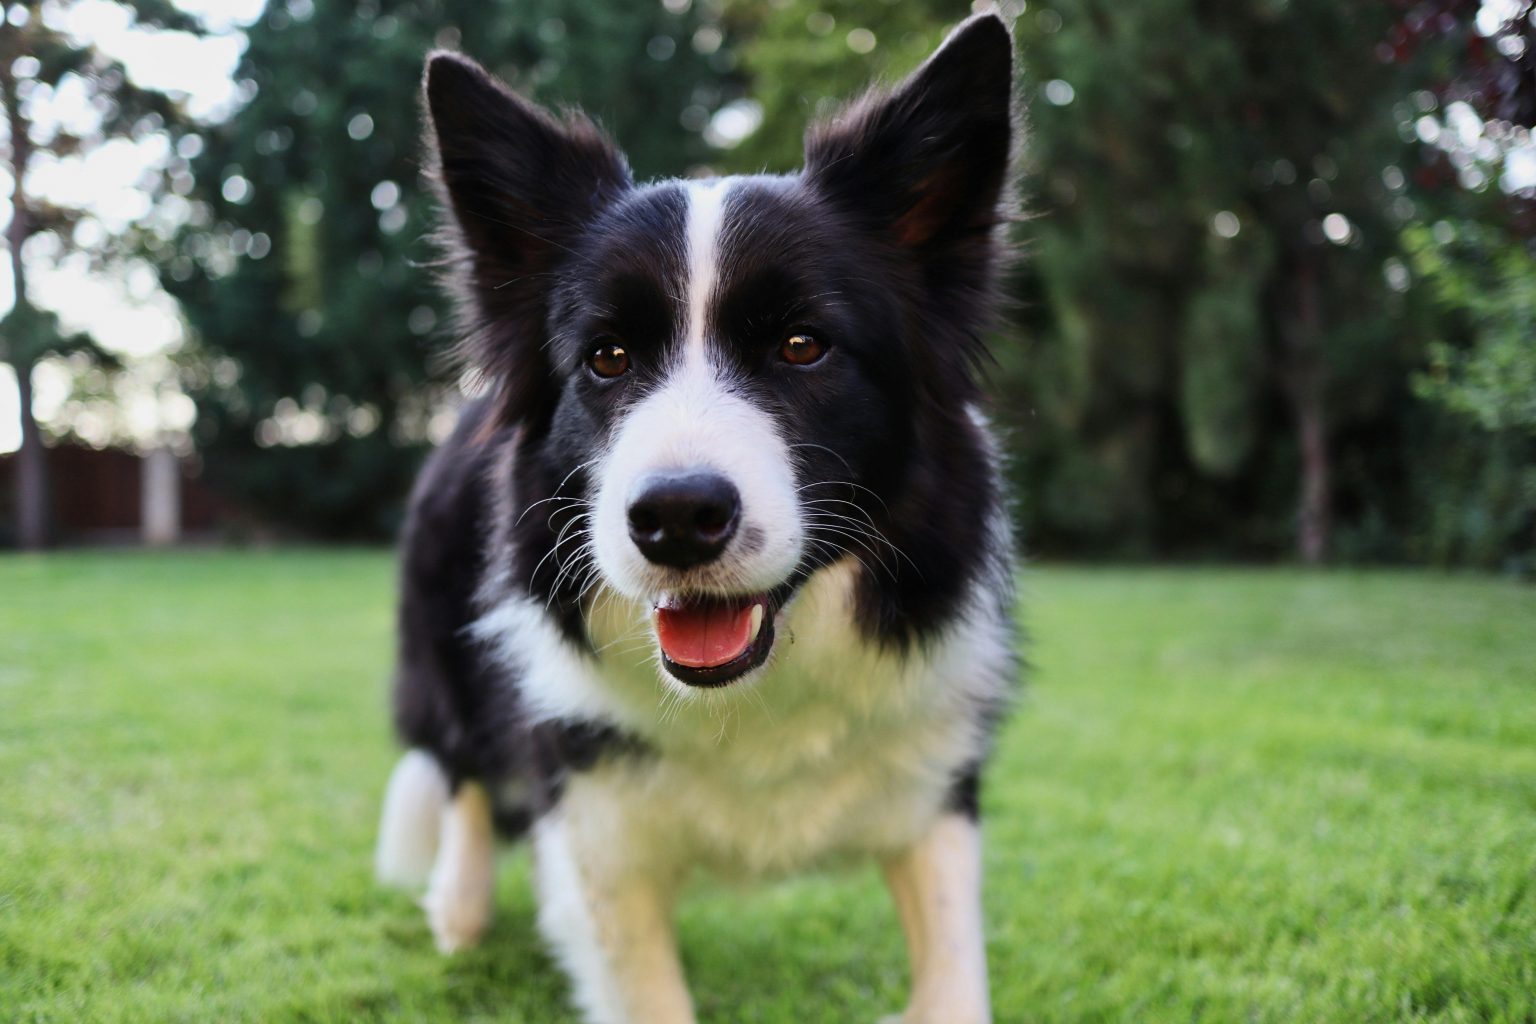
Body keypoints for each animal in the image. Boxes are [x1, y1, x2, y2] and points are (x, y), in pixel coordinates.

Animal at [371, 16, 1019, 1024]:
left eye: (803, 346)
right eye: (606, 357)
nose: (676, 517)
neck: (748, 697)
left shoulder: (936, 788)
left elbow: (952, 975)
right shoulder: (596, 832)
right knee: (461, 765)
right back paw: (461, 905)